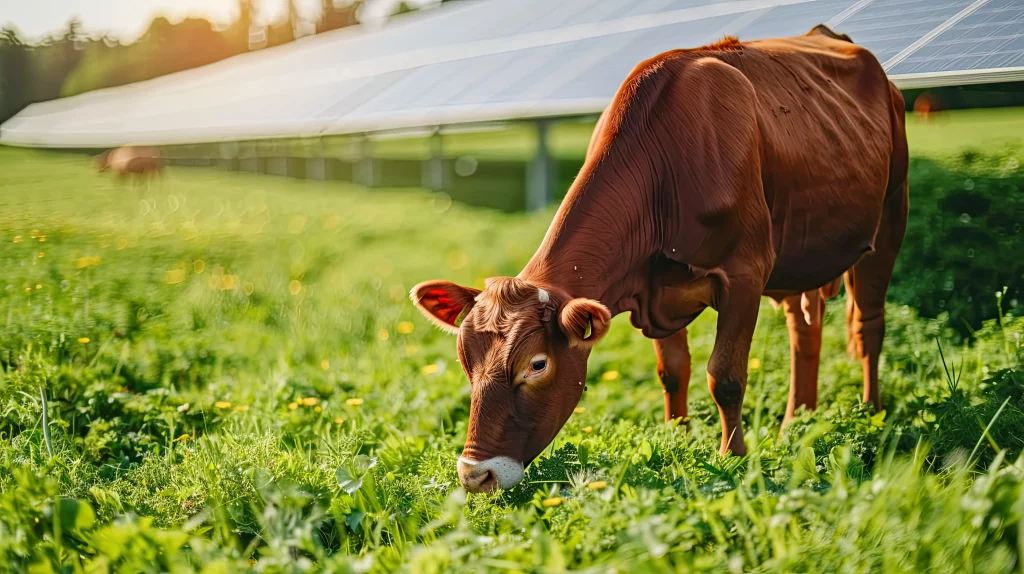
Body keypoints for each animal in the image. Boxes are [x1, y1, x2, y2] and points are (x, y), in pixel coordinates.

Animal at [411, 24, 909, 493]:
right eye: (464, 359)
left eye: (537, 364)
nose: (476, 475)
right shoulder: (654, 291)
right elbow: (673, 372)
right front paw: (678, 439)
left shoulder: (745, 273)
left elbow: (725, 377)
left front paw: (732, 458)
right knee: (804, 330)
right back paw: (796, 422)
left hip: (889, 218)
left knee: (869, 325)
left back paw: (870, 414)